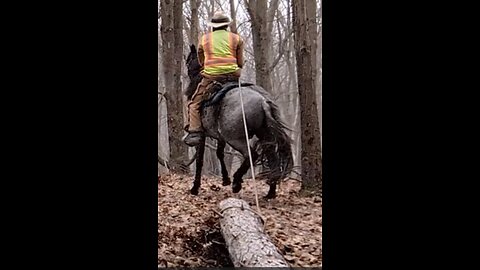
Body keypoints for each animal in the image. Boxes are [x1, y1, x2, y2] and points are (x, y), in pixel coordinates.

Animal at [186, 44, 294, 198]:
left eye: (189, 60)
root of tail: (263, 102)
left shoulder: (204, 135)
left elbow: (200, 161)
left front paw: (195, 188)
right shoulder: (220, 136)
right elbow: (219, 153)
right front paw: (225, 179)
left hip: (235, 139)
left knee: (251, 155)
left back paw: (237, 182)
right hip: (264, 135)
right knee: (272, 159)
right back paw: (270, 193)